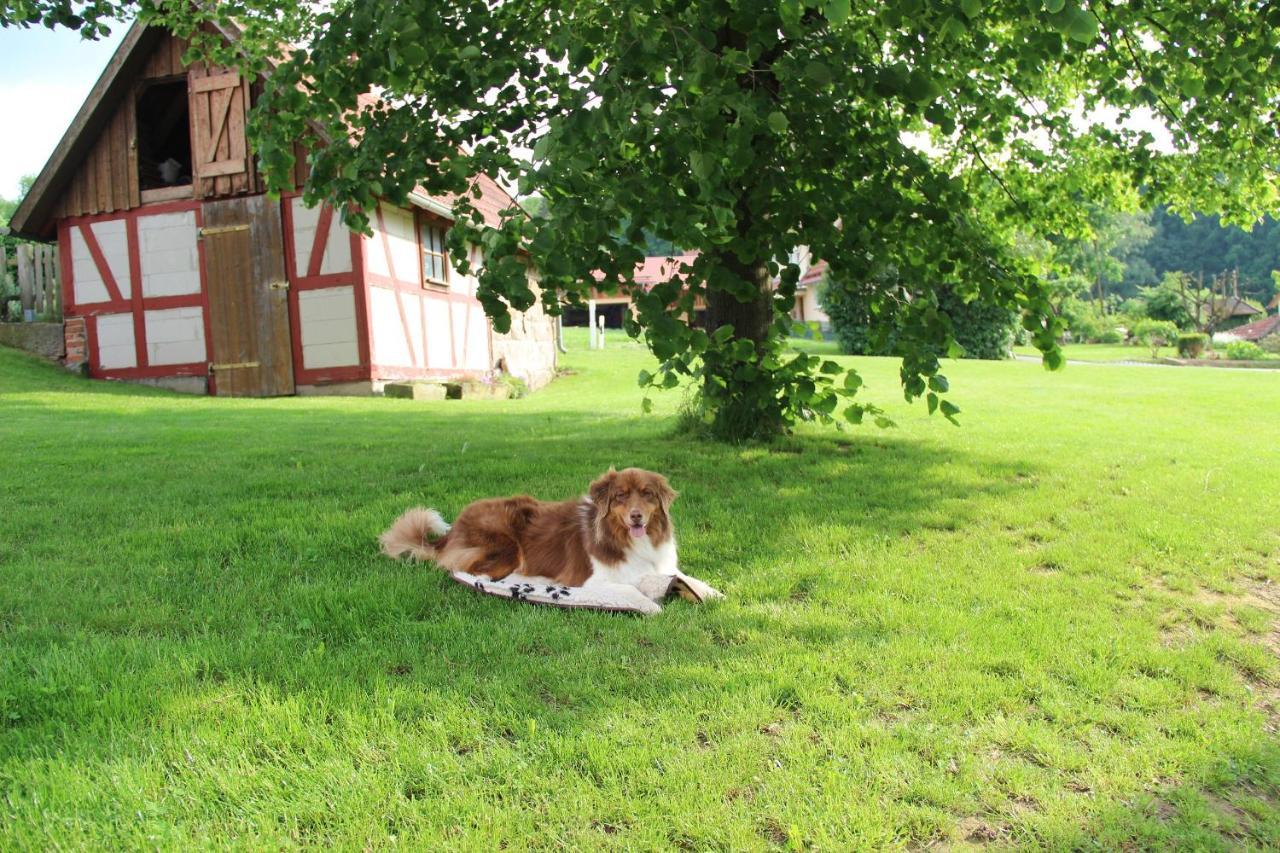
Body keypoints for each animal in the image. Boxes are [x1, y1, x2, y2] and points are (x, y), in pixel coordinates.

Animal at [376, 466, 721, 612]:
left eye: (647, 494)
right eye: (621, 496)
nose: (636, 516)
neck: (629, 540)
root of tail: (450, 533)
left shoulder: (662, 565)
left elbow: (686, 577)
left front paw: (712, 592)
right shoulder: (594, 581)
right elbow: (630, 588)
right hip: (506, 545)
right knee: (470, 571)